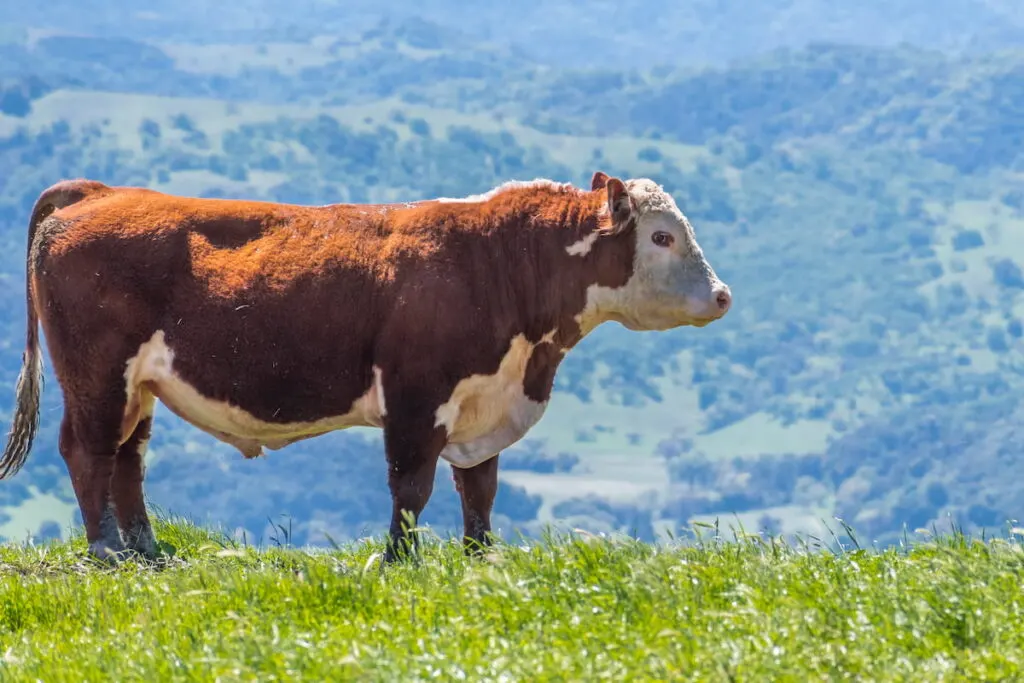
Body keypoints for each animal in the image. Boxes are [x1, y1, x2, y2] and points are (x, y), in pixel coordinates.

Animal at [0, 174, 729, 565]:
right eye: (662, 236)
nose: (722, 295)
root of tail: (101, 191)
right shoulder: (416, 397)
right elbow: (412, 487)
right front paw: (399, 558)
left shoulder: (483, 403)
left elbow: (480, 488)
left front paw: (480, 557)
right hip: (97, 374)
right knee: (88, 451)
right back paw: (106, 550)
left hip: (139, 385)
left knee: (128, 457)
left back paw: (147, 549)